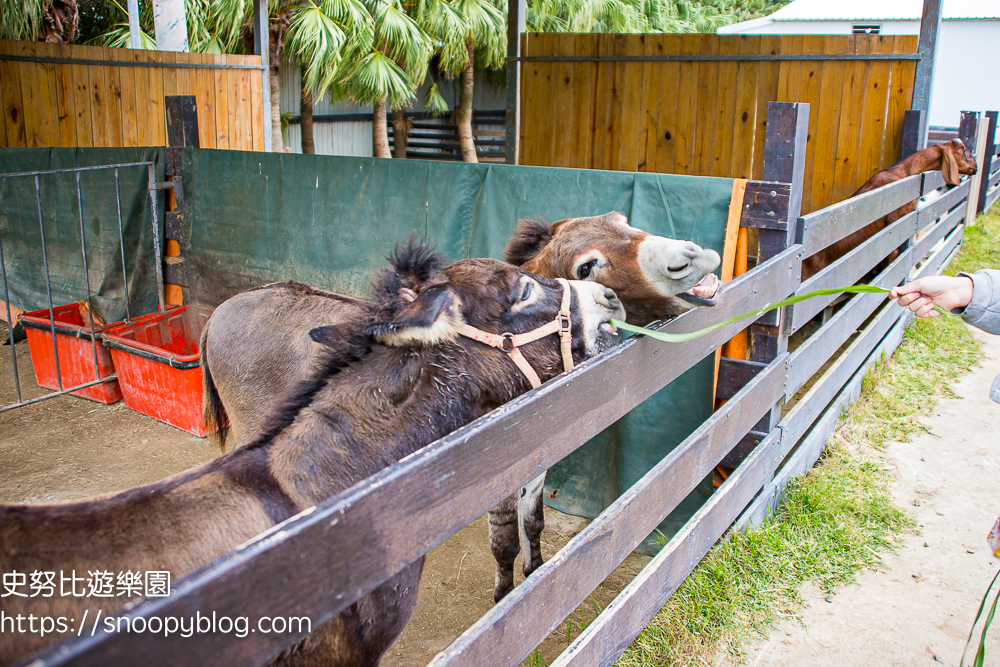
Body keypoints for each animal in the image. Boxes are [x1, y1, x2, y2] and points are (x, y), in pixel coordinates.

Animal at [1, 245, 624, 667]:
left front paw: (536, 574)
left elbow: (532, 525)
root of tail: (220, 312)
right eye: (521, 293)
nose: (611, 299)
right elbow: (504, 541)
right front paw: (508, 595)